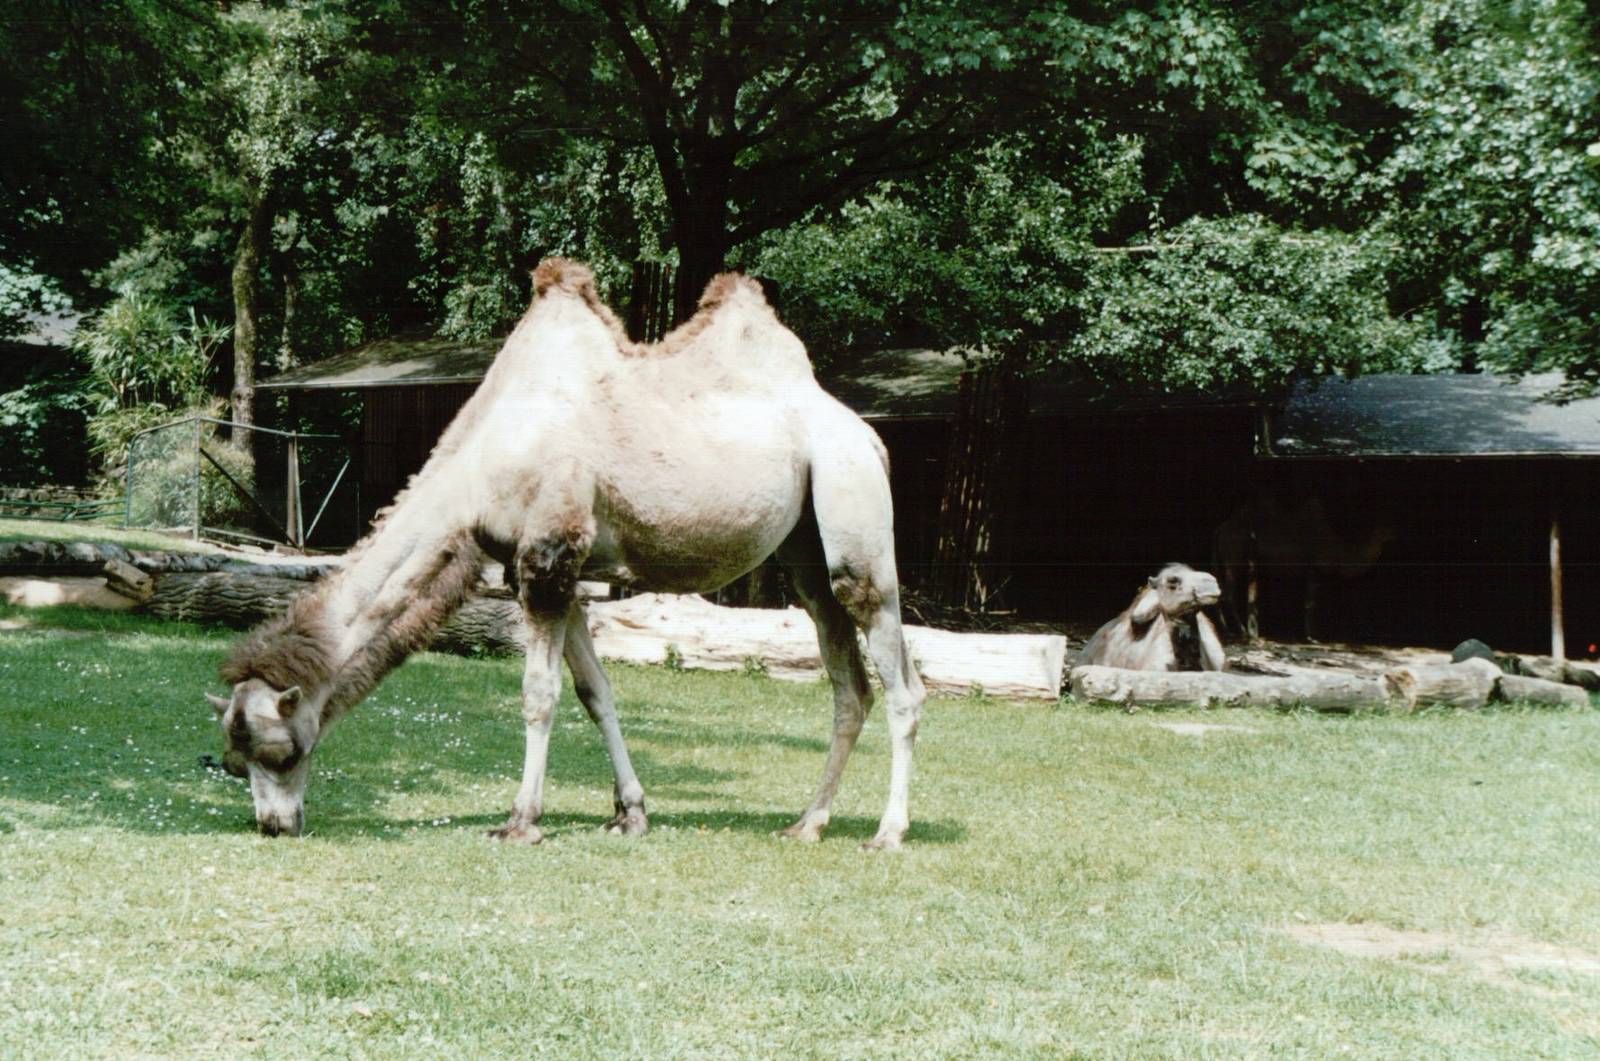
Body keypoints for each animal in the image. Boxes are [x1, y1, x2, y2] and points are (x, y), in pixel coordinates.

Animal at [205, 259, 925, 850]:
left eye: (279, 752)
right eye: (232, 760)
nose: (273, 825)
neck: (478, 468)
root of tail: (870, 436)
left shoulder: (546, 557)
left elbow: (539, 692)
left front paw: (521, 819)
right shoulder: (560, 568)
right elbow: (594, 690)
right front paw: (630, 812)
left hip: (852, 506)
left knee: (898, 674)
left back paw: (888, 832)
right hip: (806, 552)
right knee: (848, 681)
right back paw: (809, 823)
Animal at [1211, 495, 1394, 641]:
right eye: (1387, 525)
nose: (1397, 534)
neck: (1339, 550)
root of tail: (1220, 530)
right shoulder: (1314, 571)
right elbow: (1310, 604)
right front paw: (1312, 638)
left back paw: (1228, 633)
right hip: (1234, 557)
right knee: (1228, 594)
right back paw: (1241, 633)